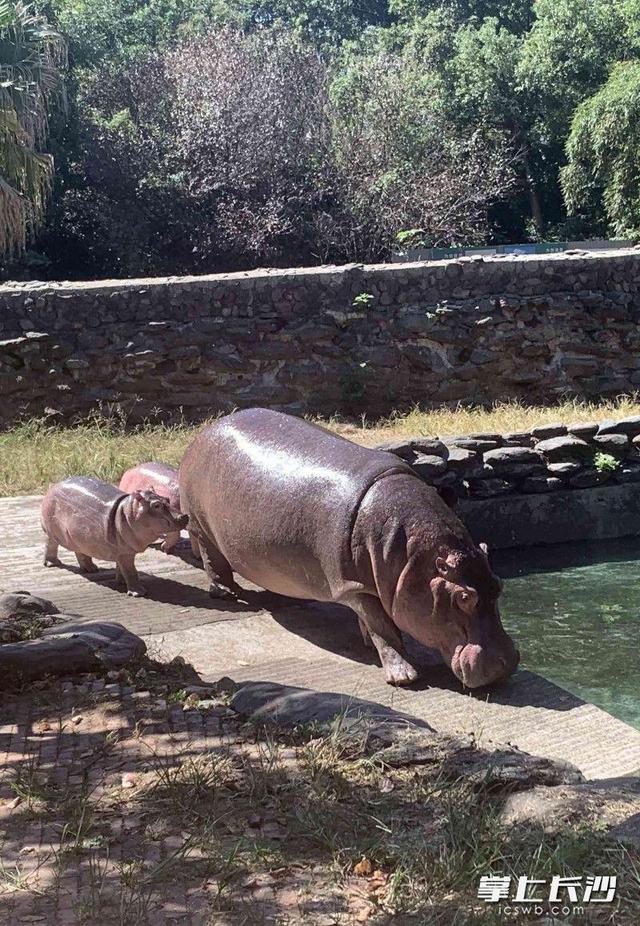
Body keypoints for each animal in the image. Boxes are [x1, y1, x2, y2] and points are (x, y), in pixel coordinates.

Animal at [40, 474, 188, 600]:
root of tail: (53, 486)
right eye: (156, 505)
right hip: (52, 531)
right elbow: (130, 571)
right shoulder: (125, 553)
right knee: (50, 544)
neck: (128, 511)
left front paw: (121, 582)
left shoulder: (121, 551)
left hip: (78, 535)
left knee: (80, 551)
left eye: (167, 499)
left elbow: (121, 568)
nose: (184, 516)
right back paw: (52, 563)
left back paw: (92, 569)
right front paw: (139, 593)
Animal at [178, 408, 516, 688]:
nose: (504, 666)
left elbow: (373, 622)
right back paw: (227, 593)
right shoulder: (353, 587)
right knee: (212, 559)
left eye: (499, 585)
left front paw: (366, 641)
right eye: (464, 597)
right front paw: (404, 677)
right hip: (200, 525)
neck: (411, 558)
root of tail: (207, 429)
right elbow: (383, 627)